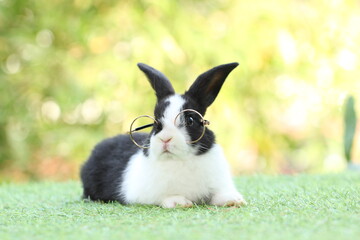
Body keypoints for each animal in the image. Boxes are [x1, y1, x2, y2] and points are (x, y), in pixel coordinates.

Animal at [80, 62, 246, 208]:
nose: (165, 139)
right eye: (156, 124)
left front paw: (234, 200)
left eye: (190, 120)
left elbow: (218, 194)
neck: (179, 160)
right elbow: (164, 197)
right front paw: (180, 202)